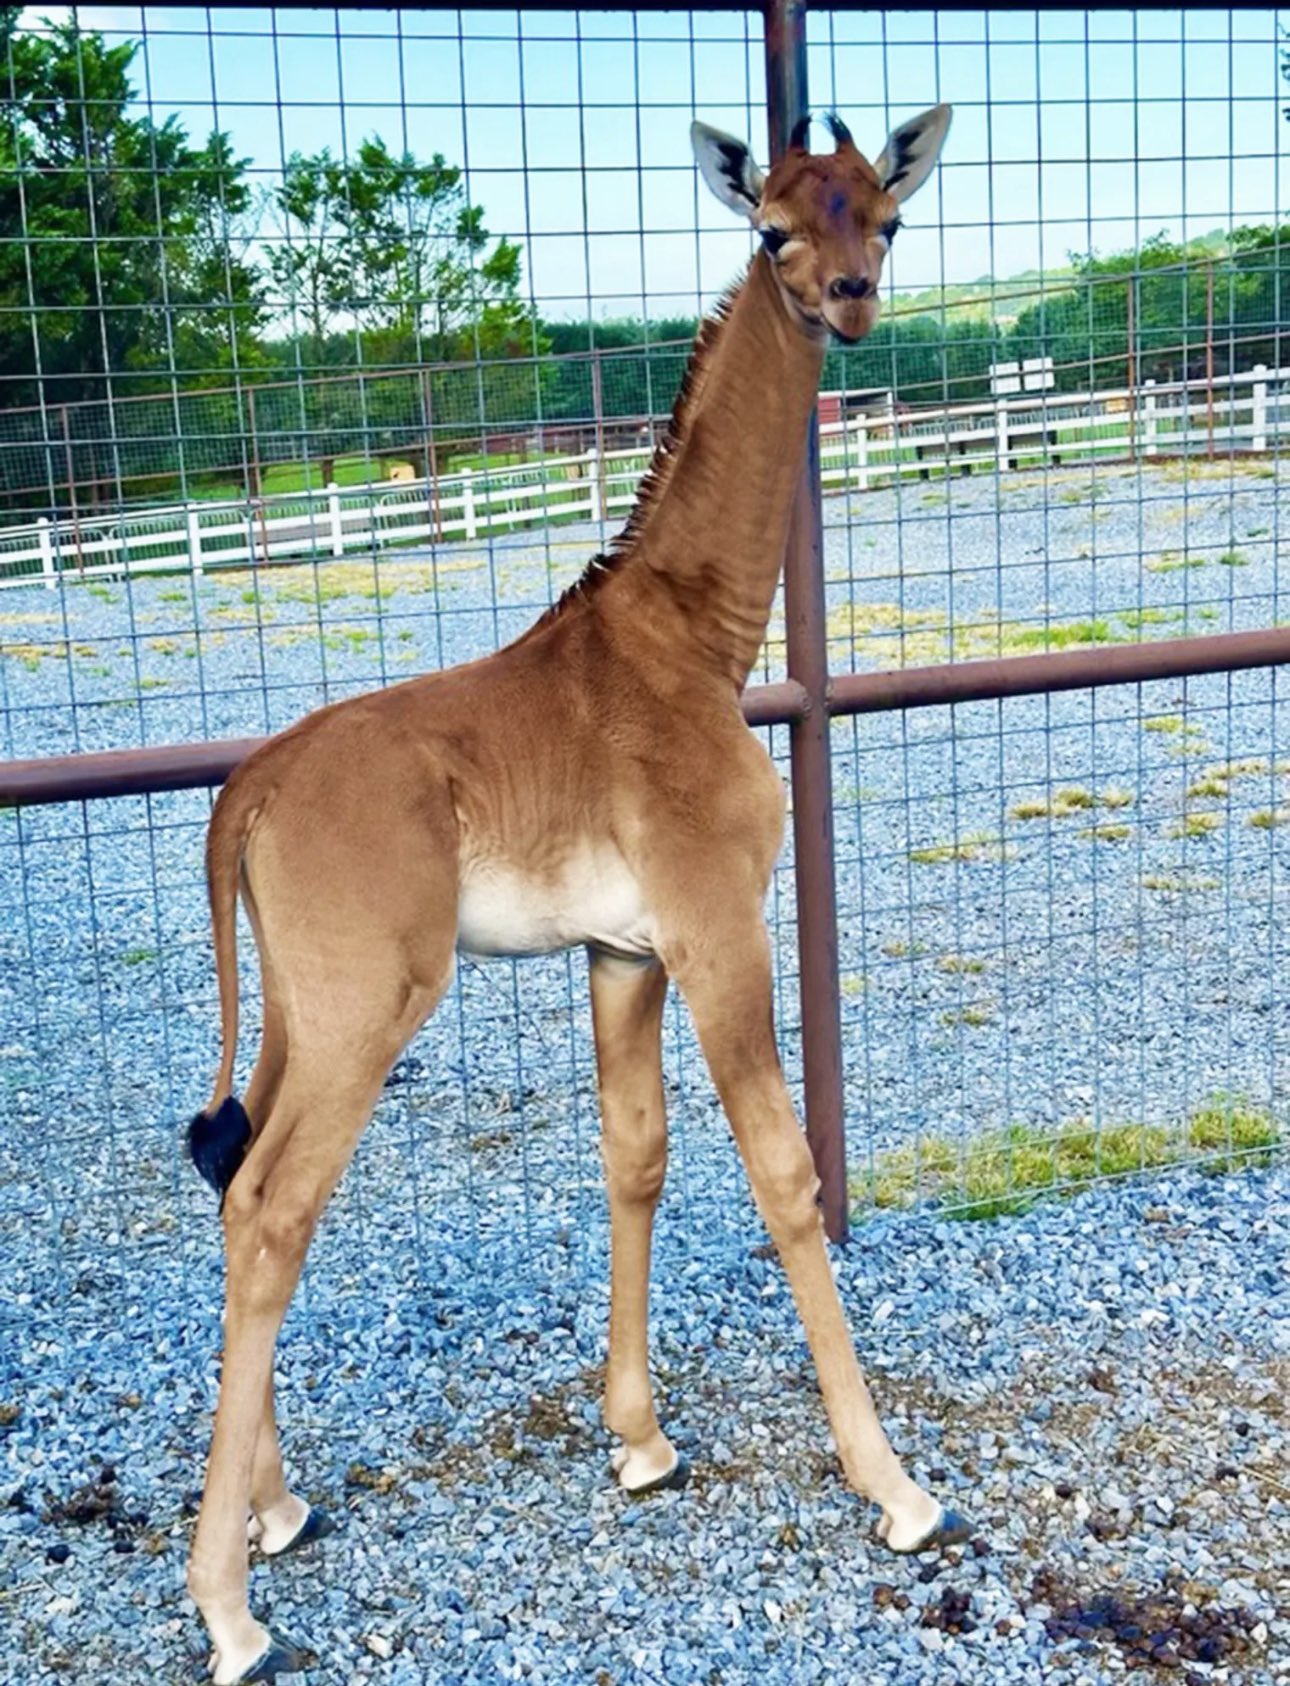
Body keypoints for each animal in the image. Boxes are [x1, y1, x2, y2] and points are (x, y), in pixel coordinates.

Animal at [188, 108, 957, 1686]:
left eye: (887, 217)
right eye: (772, 230)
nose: (852, 300)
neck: (697, 642)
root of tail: (249, 792)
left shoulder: (621, 950)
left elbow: (635, 1156)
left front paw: (642, 1440)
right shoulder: (718, 928)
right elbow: (785, 1174)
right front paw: (897, 1488)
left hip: (296, 1007)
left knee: (235, 1182)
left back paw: (277, 1508)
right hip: (368, 1007)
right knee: (274, 1210)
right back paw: (229, 1608)